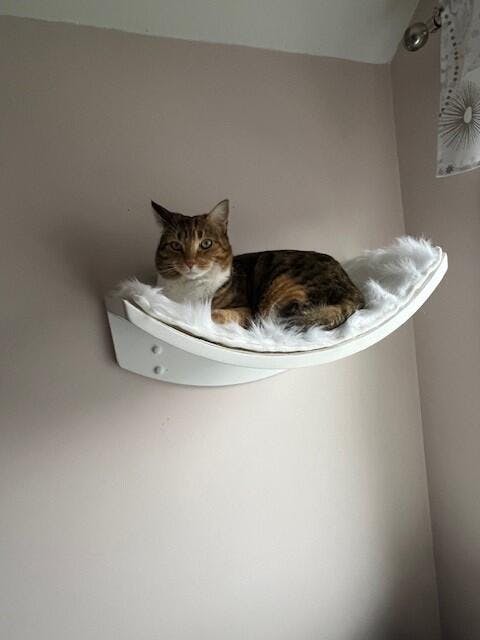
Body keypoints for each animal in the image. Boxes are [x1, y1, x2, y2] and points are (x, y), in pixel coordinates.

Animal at [152, 199, 364, 329]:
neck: (188, 289)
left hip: (282, 291)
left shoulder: (246, 310)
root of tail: (355, 292)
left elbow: (213, 313)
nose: (190, 262)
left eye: (206, 244)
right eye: (175, 245)